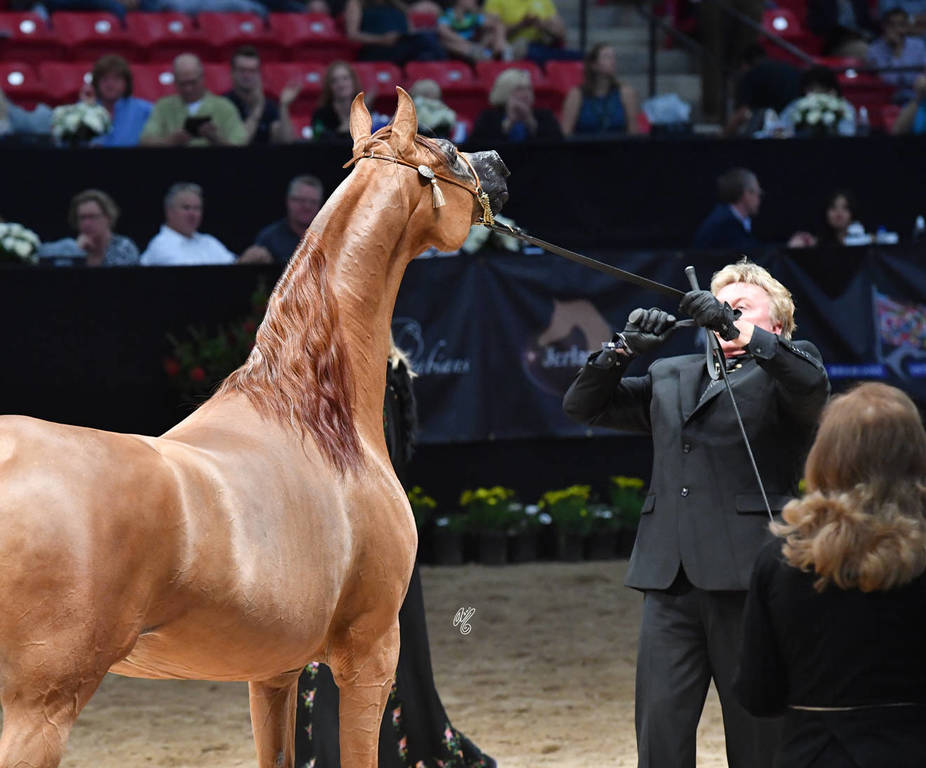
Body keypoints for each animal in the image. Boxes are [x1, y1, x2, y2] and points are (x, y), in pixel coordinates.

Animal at [0, 88, 509, 768]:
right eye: (449, 150)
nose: (500, 167)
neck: (316, 415)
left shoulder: (273, 673)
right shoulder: (370, 658)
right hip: (40, 709)